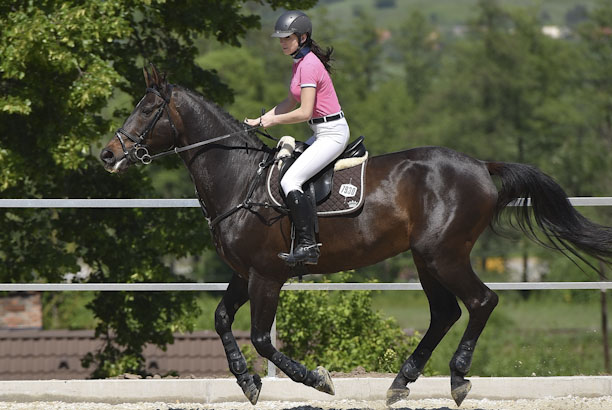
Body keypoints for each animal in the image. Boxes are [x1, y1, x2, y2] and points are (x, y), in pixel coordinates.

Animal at [99, 65, 612, 406]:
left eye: (148, 109)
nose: (108, 155)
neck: (240, 178)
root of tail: (482, 167)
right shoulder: (244, 273)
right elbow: (223, 320)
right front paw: (247, 381)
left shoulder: (267, 275)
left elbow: (262, 338)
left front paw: (318, 379)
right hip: (426, 258)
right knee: (445, 313)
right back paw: (401, 382)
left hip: (444, 254)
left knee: (481, 302)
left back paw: (458, 379)